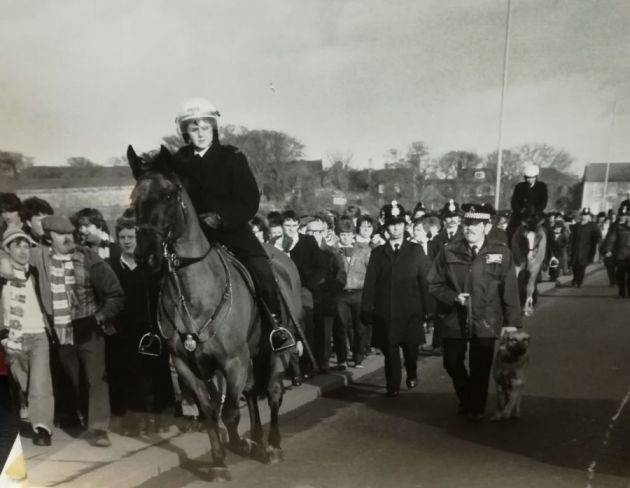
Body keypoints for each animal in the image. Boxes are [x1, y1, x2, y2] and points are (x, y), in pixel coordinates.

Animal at [129, 146, 296, 480]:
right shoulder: (186, 365)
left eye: (169, 194)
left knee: (272, 391)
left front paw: (238, 446)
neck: (193, 292)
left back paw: (272, 445)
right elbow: (210, 411)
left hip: (275, 351)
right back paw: (257, 438)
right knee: (251, 392)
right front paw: (220, 460)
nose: (146, 255)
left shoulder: (233, 360)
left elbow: (229, 411)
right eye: (134, 198)